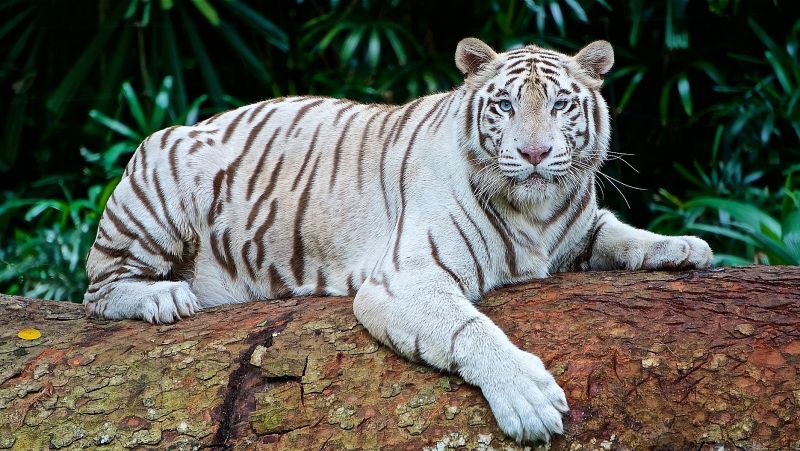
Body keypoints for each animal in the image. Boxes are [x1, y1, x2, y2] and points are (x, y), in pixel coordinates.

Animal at [84, 38, 712, 442]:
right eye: (505, 104)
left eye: (560, 104)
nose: (534, 153)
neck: (537, 211)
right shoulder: (407, 278)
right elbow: (470, 329)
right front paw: (529, 399)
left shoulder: (578, 229)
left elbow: (620, 232)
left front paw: (685, 246)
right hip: (160, 179)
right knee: (99, 291)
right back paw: (164, 297)